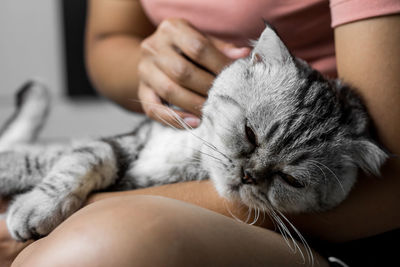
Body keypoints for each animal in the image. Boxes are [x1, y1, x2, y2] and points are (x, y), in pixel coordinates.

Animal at [0, 24, 388, 243]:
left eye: (290, 179)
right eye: (250, 133)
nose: (248, 175)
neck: (188, 151)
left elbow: (58, 160)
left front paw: (31, 208)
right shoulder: (128, 141)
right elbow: (69, 159)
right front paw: (34, 200)